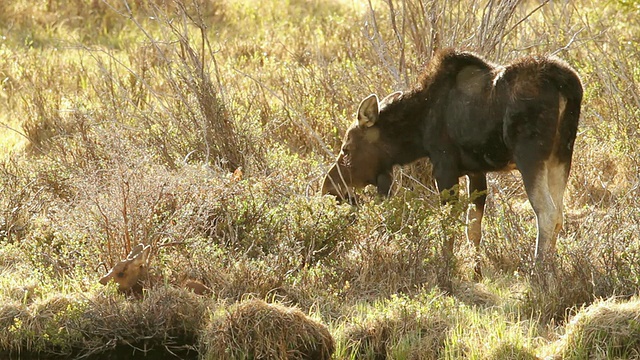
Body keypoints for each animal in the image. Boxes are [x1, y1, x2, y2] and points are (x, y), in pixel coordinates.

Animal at [322, 48, 584, 282]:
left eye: (346, 148)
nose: (328, 188)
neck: (418, 129)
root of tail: (568, 86)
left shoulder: (444, 166)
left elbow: (448, 225)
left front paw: (446, 269)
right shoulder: (476, 171)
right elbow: (473, 228)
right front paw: (475, 273)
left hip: (530, 157)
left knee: (547, 212)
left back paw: (540, 273)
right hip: (561, 157)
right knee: (559, 214)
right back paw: (555, 273)